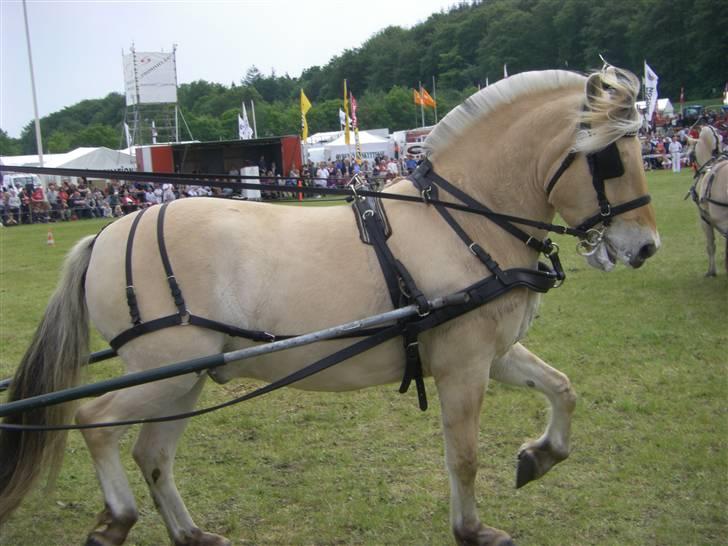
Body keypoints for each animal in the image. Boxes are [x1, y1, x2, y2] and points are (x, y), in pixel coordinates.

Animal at [0, 67, 660, 544]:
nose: (646, 247)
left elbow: (562, 388)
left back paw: (191, 534)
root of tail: (107, 233)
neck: (462, 220)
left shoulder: (491, 354)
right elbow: (465, 456)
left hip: (184, 378)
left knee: (152, 453)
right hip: (161, 371)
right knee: (95, 421)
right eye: (609, 158)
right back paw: (117, 518)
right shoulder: (463, 364)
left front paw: (540, 456)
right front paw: (472, 529)